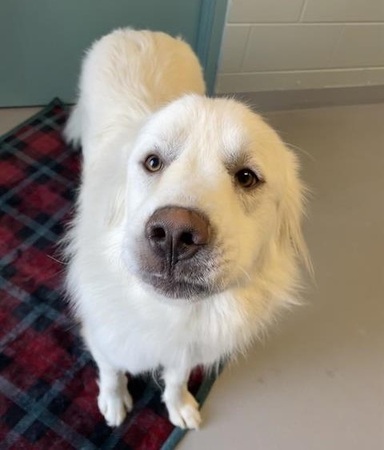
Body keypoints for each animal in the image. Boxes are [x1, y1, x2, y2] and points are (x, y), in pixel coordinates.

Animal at [63, 28, 308, 428]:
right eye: (152, 162)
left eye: (246, 177)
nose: (175, 233)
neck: (170, 314)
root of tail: (138, 31)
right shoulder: (103, 337)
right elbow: (112, 372)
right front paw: (113, 403)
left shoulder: (187, 350)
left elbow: (176, 378)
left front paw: (179, 406)